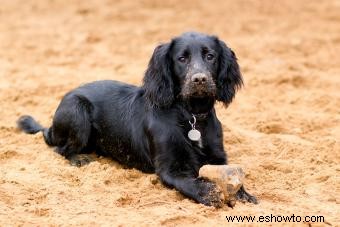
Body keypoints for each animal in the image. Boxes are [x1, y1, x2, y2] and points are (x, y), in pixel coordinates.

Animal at [17, 31, 256, 207]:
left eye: (210, 56)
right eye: (182, 58)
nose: (199, 79)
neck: (190, 116)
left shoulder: (218, 157)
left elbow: (233, 180)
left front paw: (244, 196)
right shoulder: (170, 169)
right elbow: (192, 183)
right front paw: (210, 193)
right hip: (77, 110)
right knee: (60, 149)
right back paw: (80, 159)